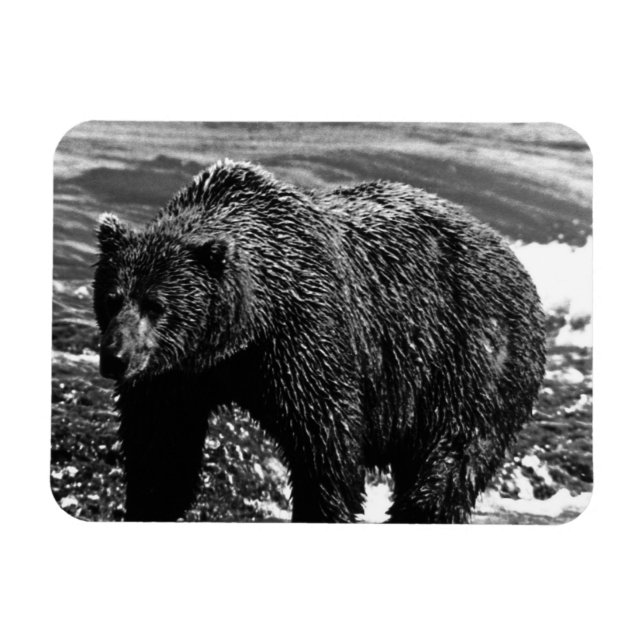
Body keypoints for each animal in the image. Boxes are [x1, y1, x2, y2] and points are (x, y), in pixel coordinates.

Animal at [93, 159, 546, 523]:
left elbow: (326, 443)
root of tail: (513, 256)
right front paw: (148, 503)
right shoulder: (177, 375)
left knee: (449, 461)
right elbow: (161, 452)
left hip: (471, 358)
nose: (116, 357)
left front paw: (325, 509)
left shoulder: (305, 332)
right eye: (112, 297)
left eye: (156, 304)